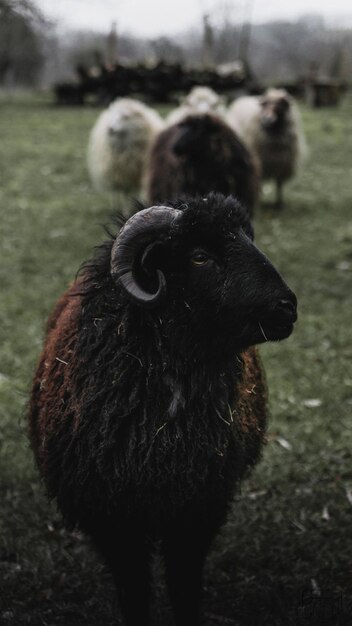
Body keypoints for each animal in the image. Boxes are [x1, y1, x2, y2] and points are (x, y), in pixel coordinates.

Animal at [28, 193, 296, 620]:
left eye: (248, 237)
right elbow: (134, 591)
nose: (288, 307)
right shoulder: (112, 520)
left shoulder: (197, 510)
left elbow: (184, 585)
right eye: (200, 256)